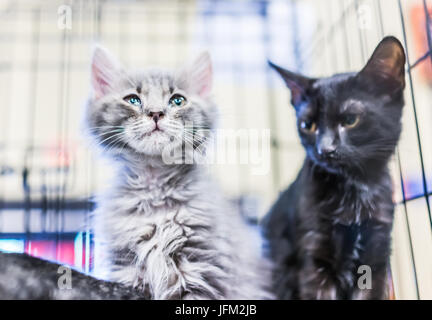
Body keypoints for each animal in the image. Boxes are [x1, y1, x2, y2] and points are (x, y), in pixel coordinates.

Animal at [85, 47, 272, 300]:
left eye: (177, 100)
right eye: (132, 99)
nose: (156, 113)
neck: (154, 185)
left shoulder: (202, 265)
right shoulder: (128, 269)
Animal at [262, 37, 406, 300]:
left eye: (350, 120)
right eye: (308, 125)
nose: (324, 149)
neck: (355, 190)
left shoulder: (376, 257)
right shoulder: (313, 257)